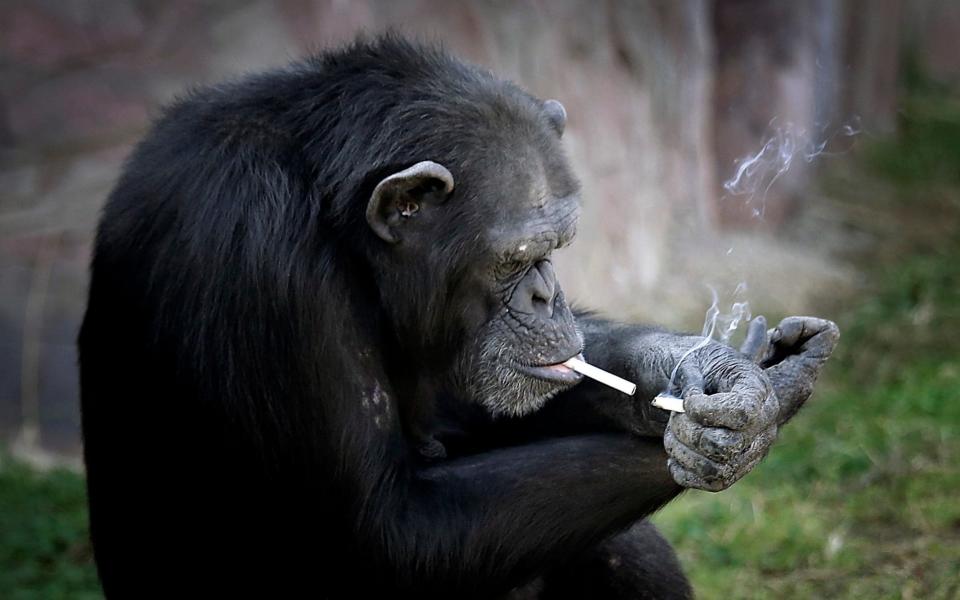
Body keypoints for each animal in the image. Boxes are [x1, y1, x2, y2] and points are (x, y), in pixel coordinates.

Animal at [79, 35, 836, 596]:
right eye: (514, 258)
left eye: (559, 246)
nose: (548, 294)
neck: (333, 216)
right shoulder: (261, 261)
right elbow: (393, 532)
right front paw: (762, 410)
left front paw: (720, 382)